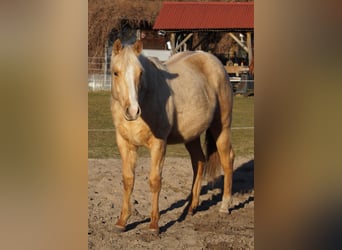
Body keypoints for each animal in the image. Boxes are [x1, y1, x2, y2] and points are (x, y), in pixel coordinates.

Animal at [111, 39, 234, 234]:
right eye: (116, 72)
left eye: (140, 73)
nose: (133, 111)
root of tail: (215, 62)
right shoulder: (125, 144)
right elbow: (128, 180)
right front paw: (122, 221)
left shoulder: (158, 144)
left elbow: (155, 181)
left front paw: (154, 225)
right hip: (192, 136)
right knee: (199, 162)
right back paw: (190, 207)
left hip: (222, 128)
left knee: (227, 160)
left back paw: (224, 206)